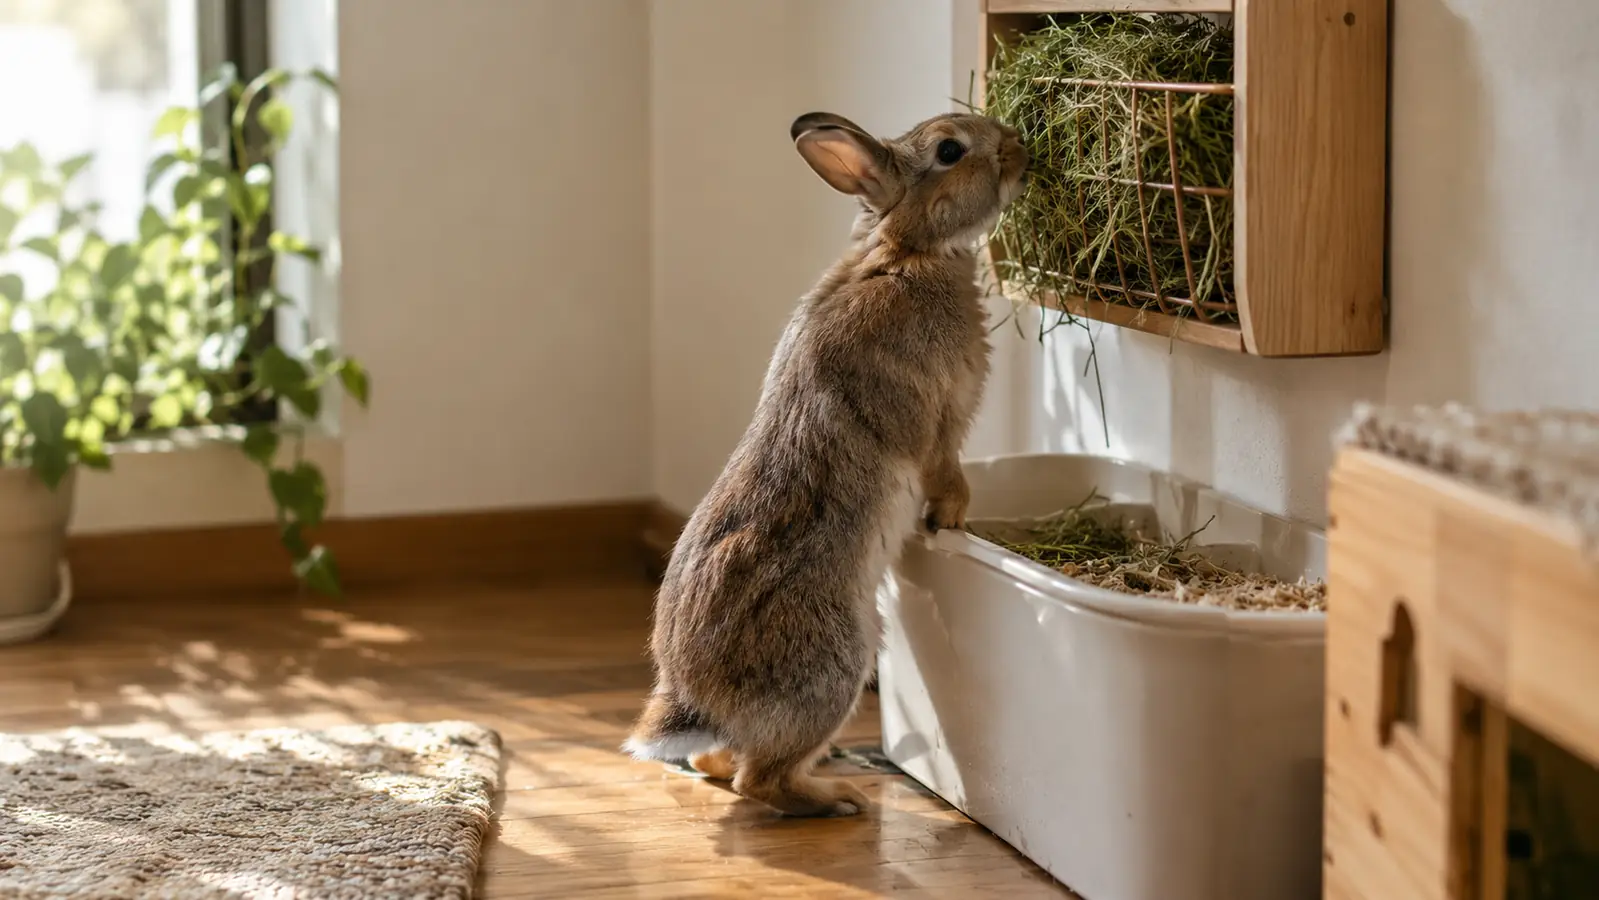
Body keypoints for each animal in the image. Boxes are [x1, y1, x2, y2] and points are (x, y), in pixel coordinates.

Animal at [624, 110, 1028, 817]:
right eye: (951, 151)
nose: (1018, 149)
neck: (907, 252)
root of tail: (692, 698)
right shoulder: (936, 425)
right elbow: (943, 468)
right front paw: (953, 517)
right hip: (834, 666)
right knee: (758, 781)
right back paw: (838, 799)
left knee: (716, 761)